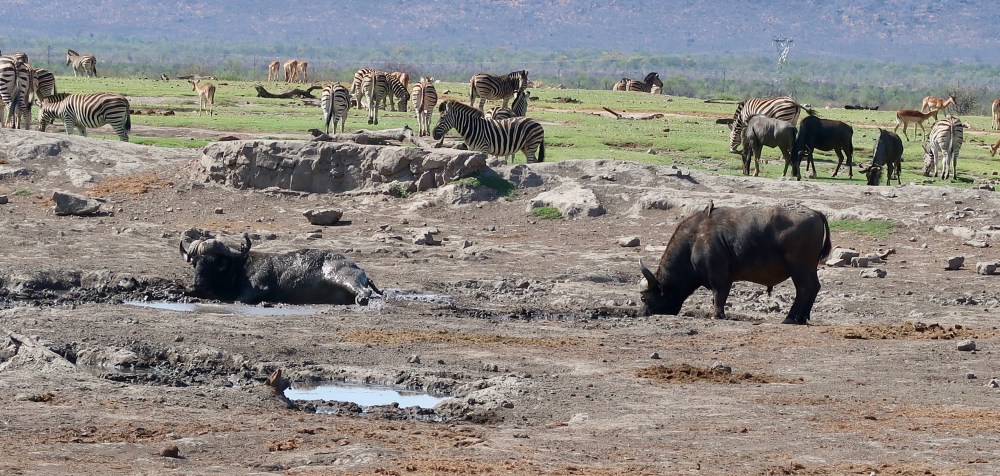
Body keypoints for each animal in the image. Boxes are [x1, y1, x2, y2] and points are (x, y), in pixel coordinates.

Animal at [179, 234, 381, 305]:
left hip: (343, 278)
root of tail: (358, 268)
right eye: (195, 263)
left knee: (365, 291)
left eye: (214, 262)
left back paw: (362, 299)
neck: (240, 267)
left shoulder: (257, 288)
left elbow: (239, 299)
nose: (198, 283)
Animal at [639, 203, 831, 324]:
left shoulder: (719, 276)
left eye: (644, 298)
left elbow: (719, 294)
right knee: (814, 287)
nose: (641, 313)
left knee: (805, 288)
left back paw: (791, 317)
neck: (693, 242)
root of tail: (814, 212)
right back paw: (802, 317)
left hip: (798, 267)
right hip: (810, 267)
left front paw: (717, 315)